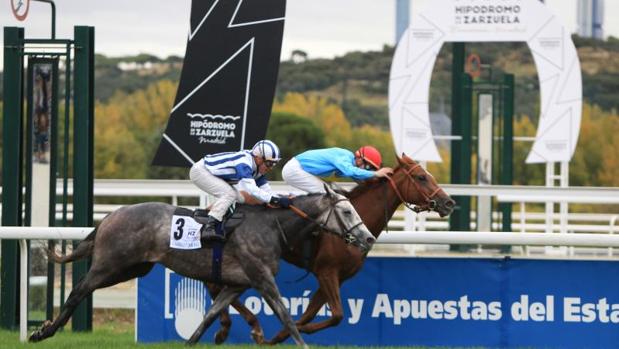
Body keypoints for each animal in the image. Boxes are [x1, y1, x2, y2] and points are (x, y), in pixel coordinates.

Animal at [29, 185, 376, 346]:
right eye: (347, 212)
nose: (369, 237)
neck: (270, 225)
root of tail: (111, 216)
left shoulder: (238, 283)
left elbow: (210, 316)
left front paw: (190, 342)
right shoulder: (262, 279)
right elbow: (287, 318)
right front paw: (301, 344)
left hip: (134, 268)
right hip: (111, 265)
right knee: (78, 290)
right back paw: (43, 332)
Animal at [206, 154, 452, 342]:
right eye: (421, 177)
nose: (448, 202)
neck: (353, 223)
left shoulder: (338, 277)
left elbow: (313, 313)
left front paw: (283, 334)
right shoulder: (327, 272)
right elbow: (337, 315)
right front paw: (286, 333)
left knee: (217, 285)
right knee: (214, 284)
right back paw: (231, 327)